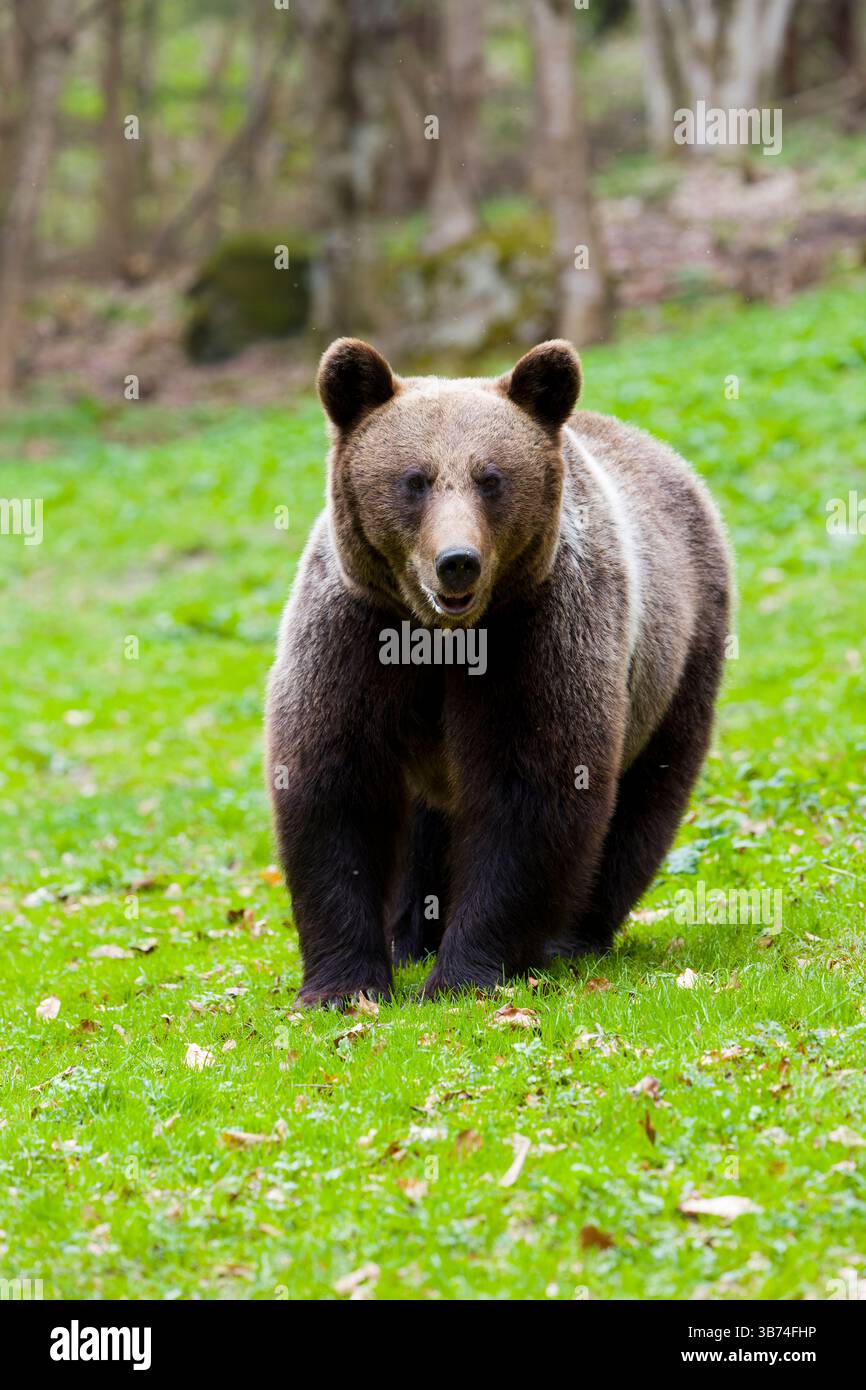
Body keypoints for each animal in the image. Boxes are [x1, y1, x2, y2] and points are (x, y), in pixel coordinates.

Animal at [266, 337, 732, 1006]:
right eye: (415, 480)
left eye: (491, 479)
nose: (456, 562)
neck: (441, 639)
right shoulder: (356, 628)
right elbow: (335, 784)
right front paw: (343, 984)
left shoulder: (537, 630)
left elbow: (532, 788)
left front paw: (466, 973)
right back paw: (410, 938)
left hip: (678, 656)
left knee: (646, 799)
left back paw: (573, 937)